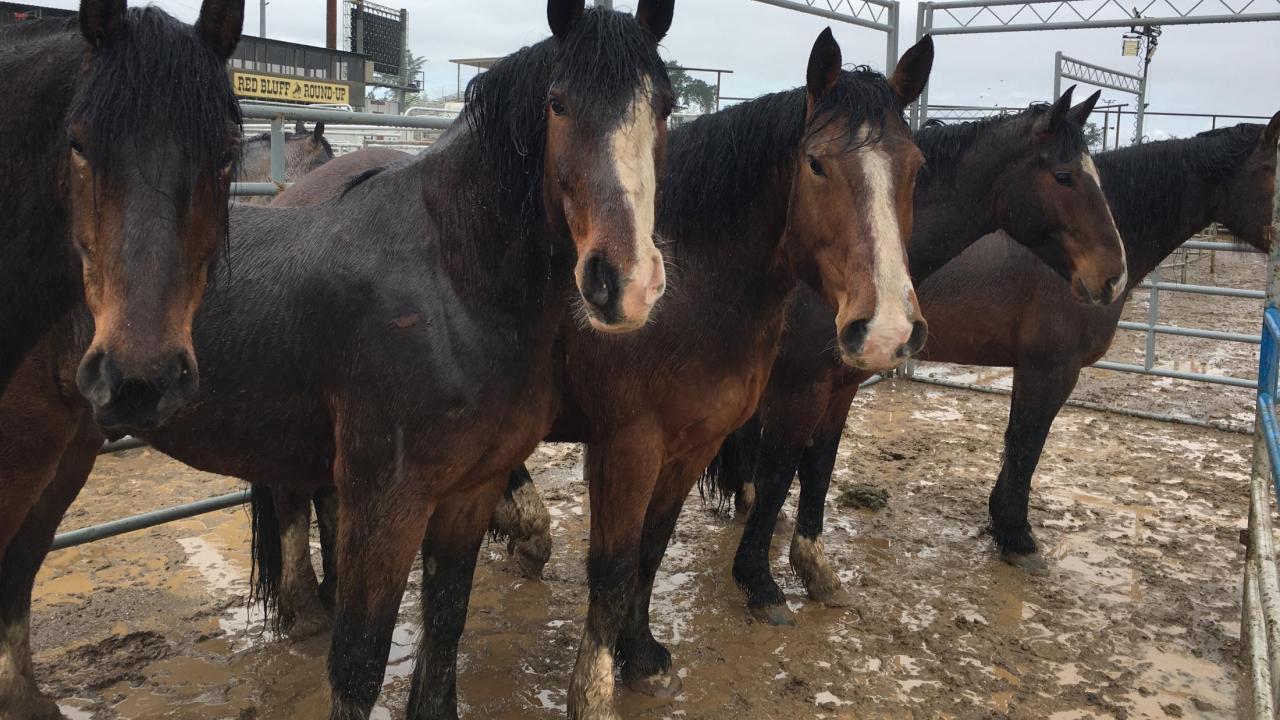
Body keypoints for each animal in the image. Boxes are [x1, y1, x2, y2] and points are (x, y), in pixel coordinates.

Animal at [715, 116, 1279, 624]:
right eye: (1276, 170)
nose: (1110, 278)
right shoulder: (1050, 369)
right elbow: (1027, 447)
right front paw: (1017, 538)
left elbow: (1014, 446)